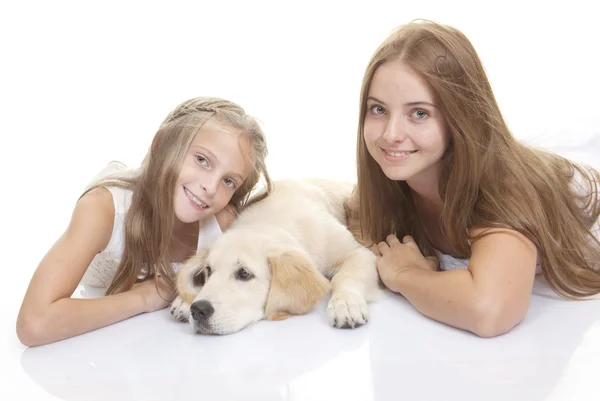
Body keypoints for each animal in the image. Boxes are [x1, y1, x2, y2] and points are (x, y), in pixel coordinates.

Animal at [171, 178, 382, 334]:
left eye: (244, 273)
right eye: (208, 270)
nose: (198, 310)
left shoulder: (357, 252)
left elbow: (346, 276)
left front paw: (345, 304)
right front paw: (184, 301)